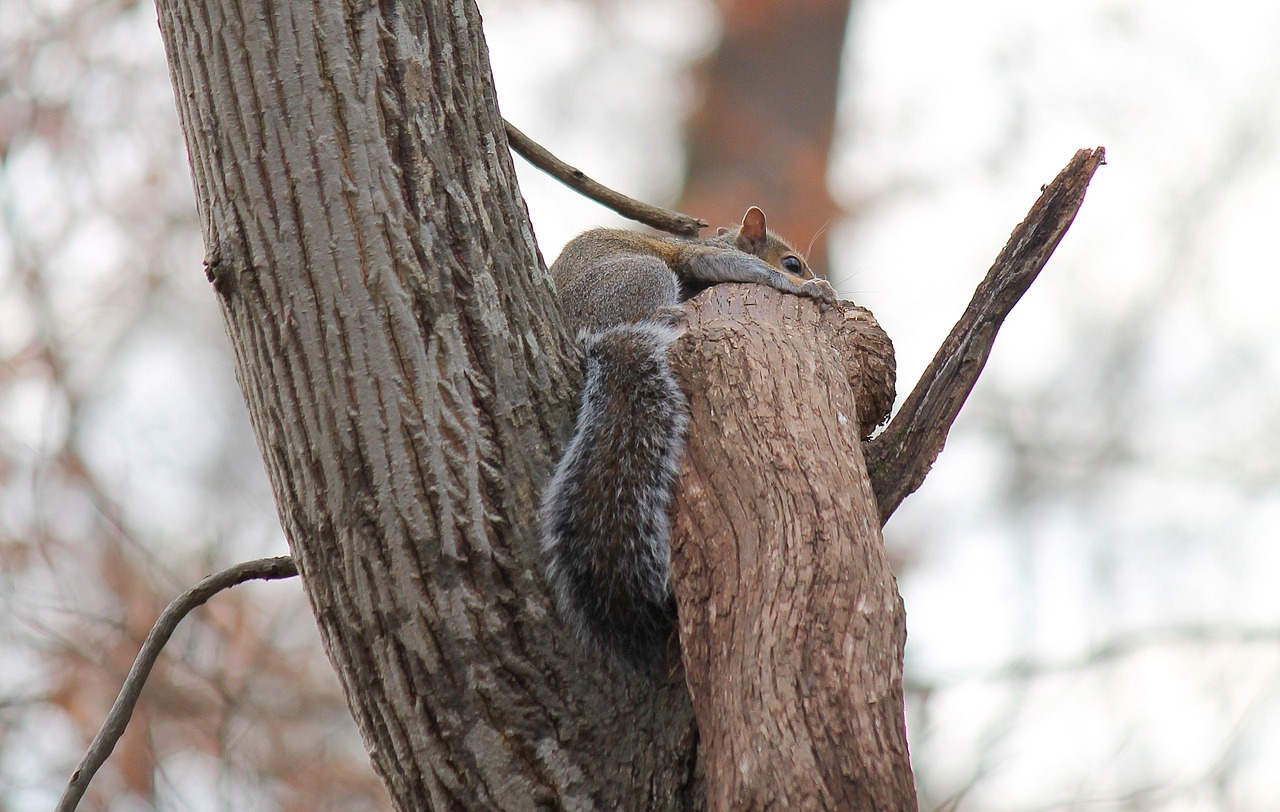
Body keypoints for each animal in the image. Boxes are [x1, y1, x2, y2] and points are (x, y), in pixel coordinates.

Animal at [535, 204, 834, 665]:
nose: (807, 276)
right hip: (642, 275)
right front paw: (805, 288)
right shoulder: (700, 257)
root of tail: (587, 336)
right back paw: (664, 316)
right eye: (791, 263)